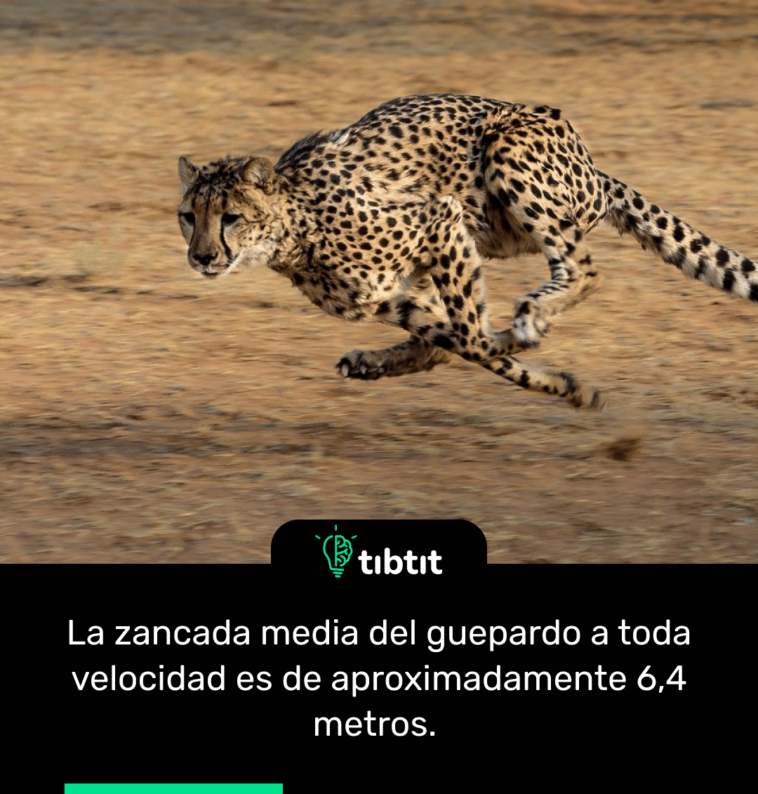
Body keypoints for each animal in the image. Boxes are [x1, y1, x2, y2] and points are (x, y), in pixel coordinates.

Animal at [177, 93, 758, 410]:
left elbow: (475, 340)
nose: (201, 257)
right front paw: (565, 385)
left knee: (583, 268)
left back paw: (532, 315)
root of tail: (593, 167)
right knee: (442, 340)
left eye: (230, 217)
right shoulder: (388, 295)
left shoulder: (439, 219)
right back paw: (374, 362)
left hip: (507, 154)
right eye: (188, 217)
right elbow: (458, 341)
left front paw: (529, 348)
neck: (294, 227)